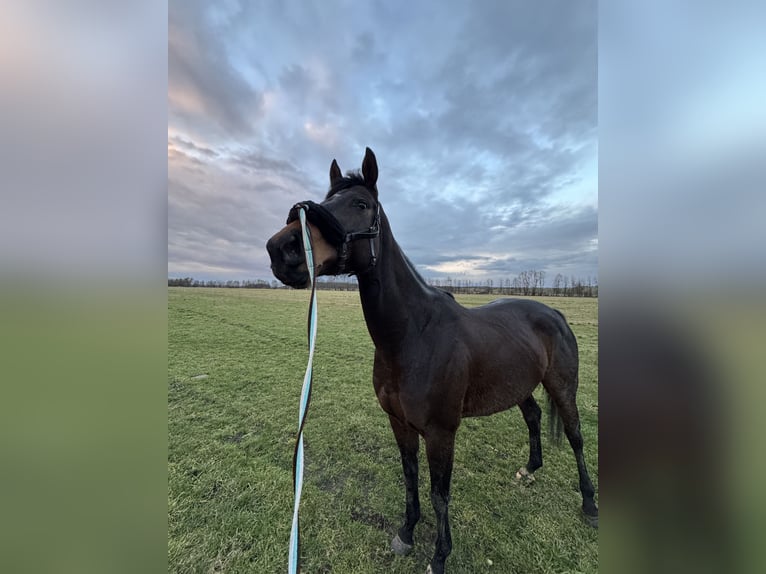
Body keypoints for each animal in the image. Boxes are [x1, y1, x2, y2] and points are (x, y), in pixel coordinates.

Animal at [268, 150, 600, 574]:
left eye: (360, 204)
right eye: (328, 200)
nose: (282, 247)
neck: (413, 335)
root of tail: (554, 312)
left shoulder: (442, 433)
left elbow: (439, 493)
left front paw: (440, 556)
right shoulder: (399, 423)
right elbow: (410, 477)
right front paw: (407, 532)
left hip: (562, 388)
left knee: (575, 435)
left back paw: (589, 504)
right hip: (518, 386)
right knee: (534, 417)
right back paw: (529, 469)